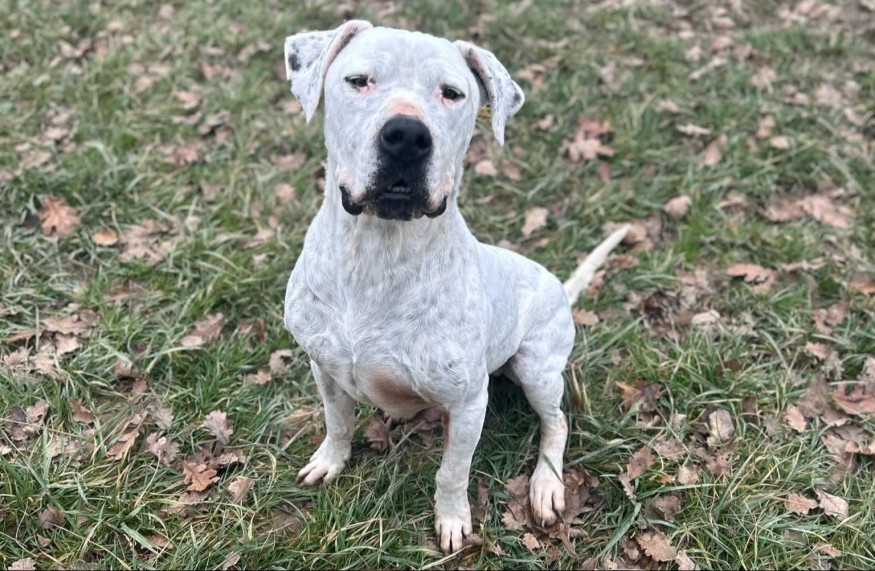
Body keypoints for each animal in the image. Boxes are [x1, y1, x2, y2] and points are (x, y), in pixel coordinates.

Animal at [282, 20, 628, 553]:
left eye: (451, 93)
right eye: (358, 80)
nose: (406, 136)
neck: (378, 254)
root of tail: (558, 285)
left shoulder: (468, 406)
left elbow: (451, 472)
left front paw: (451, 520)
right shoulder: (325, 369)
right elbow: (338, 424)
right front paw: (330, 461)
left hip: (536, 369)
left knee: (557, 423)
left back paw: (546, 484)